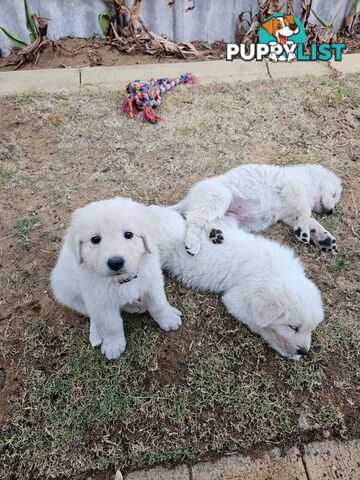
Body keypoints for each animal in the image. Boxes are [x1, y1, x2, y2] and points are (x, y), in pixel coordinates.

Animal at [50, 197, 183, 358]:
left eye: (128, 234)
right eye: (95, 239)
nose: (115, 263)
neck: (121, 280)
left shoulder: (152, 282)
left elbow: (159, 304)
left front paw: (168, 318)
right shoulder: (100, 300)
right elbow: (111, 324)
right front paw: (113, 345)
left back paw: (135, 305)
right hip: (70, 296)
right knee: (93, 315)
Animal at [148, 206, 324, 360]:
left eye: (311, 329)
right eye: (293, 327)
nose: (304, 351)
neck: (275, 273)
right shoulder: (236, 300)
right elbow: (261, 327)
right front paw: (287, 351)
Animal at [174, 163, 344, 256]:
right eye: (334, 194)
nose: (331, 211)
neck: (308, 180)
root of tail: (189, 198)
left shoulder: (289, 213)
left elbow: (310, 221)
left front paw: (325, 239)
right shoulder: (294, 188)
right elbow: (306, 213)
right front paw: (303, 232)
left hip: (230, 219)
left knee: (207, 222)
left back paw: (215, 234)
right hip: (220, 197)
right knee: (194, 219)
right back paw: (192, 243)